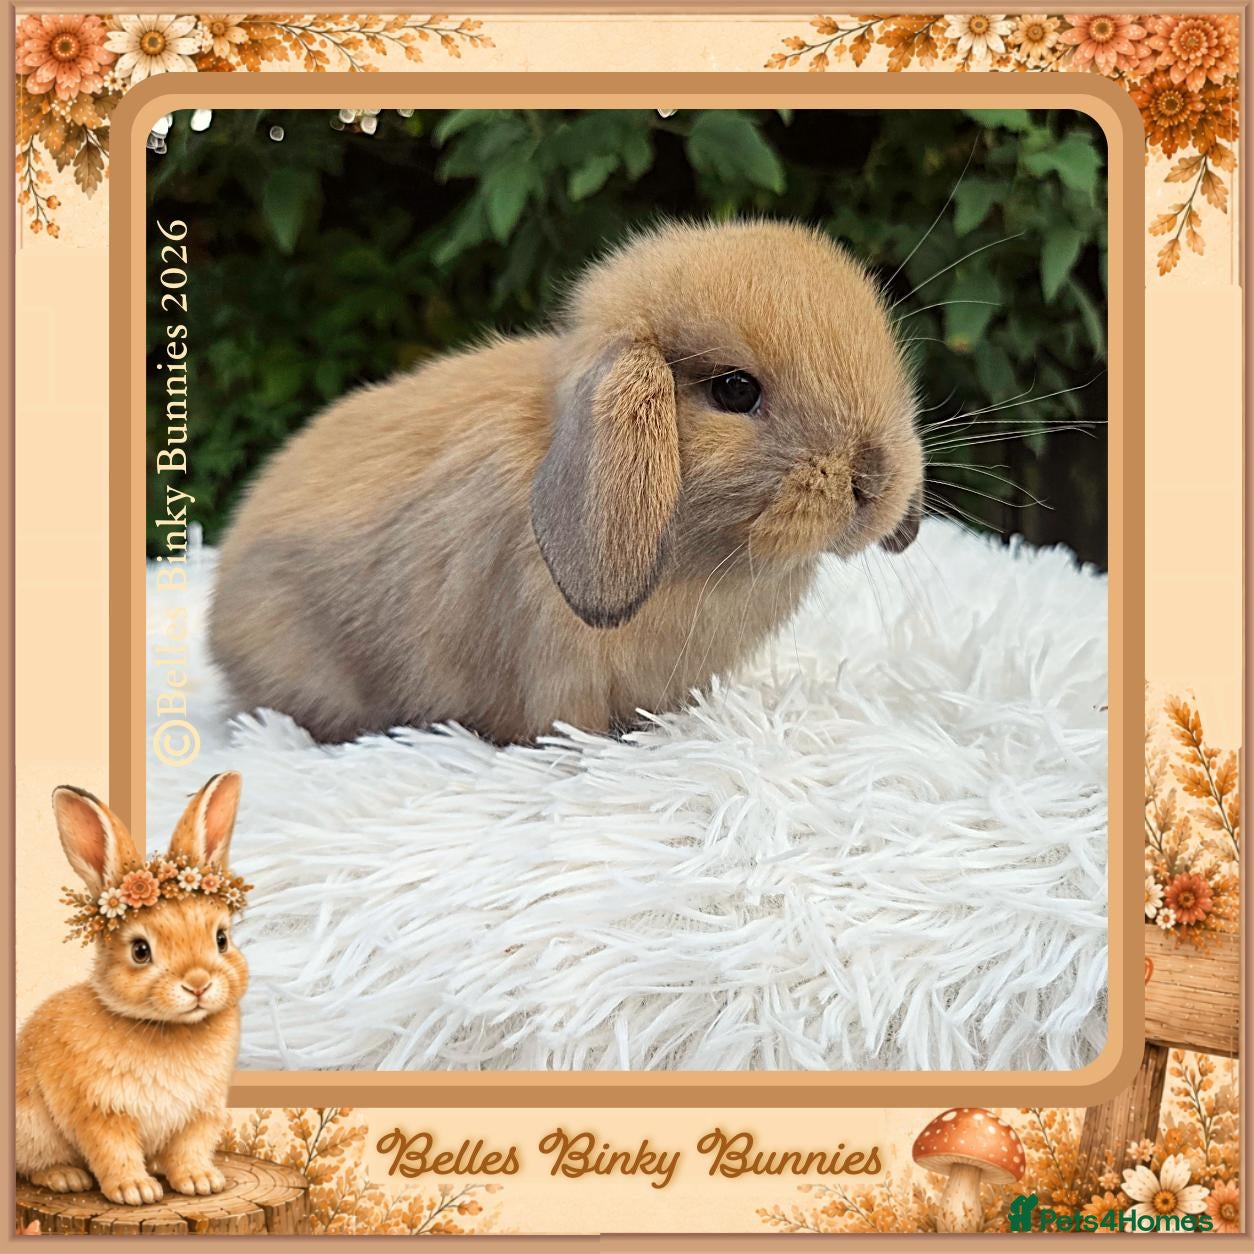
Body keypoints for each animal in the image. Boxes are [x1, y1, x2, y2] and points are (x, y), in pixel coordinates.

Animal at [16, 773, 249, 1206]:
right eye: (141, 951)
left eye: (221, 939)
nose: (198, 984)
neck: (168, 1028)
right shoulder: (101, 1111)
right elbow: (114, 1151)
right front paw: (135, 1191)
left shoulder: (200, 1114)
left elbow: (190, 1149)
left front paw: (201, 1182)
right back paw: (65, 1177)